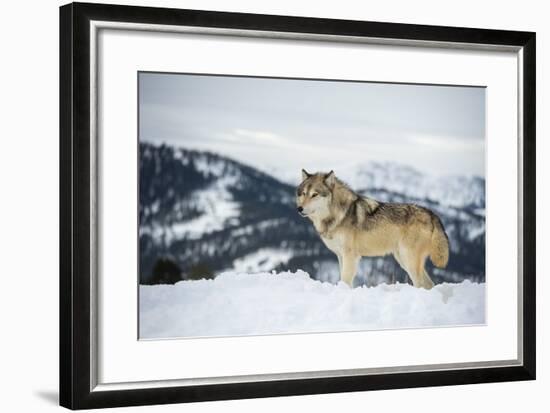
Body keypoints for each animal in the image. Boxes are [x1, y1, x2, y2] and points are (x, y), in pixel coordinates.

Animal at [300, 169, 450, 288]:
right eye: (303, 193)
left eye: (315, 194)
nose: (299, 208)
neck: (339, 214)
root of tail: (431, 214)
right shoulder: (340, 255)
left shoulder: (350, 256)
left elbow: (346, 280)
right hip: (403, 259)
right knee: (429, 284)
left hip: (409, 260)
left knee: (421, 284)